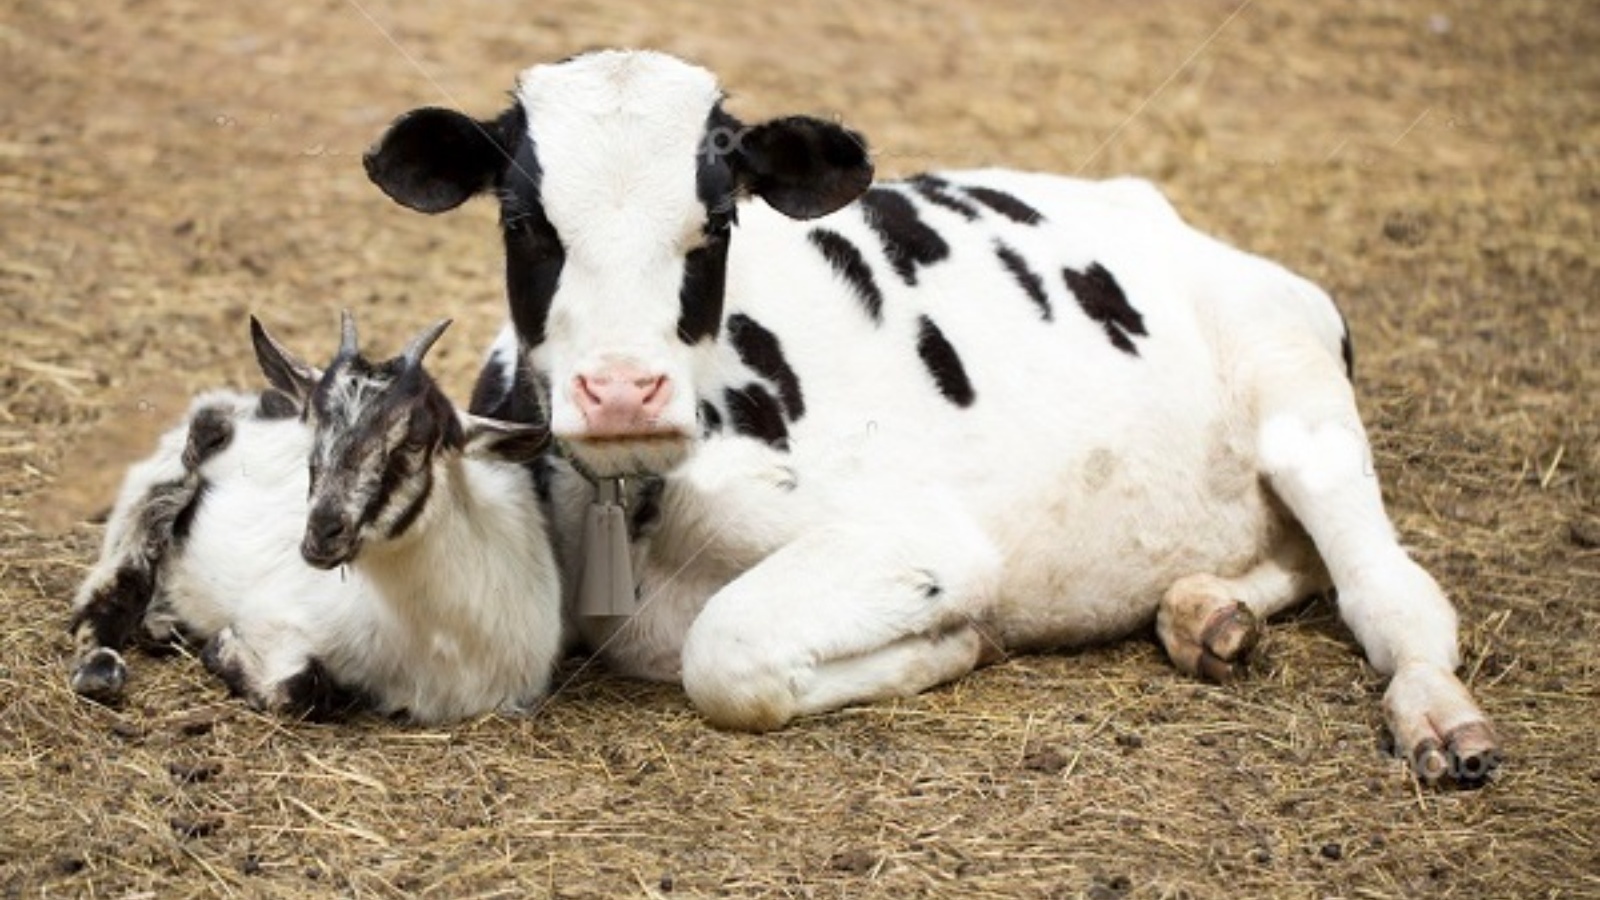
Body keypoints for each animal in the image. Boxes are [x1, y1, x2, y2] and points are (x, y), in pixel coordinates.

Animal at [68, 312, 563, 717]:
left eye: (413, 443)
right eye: (314, 431)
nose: (322, 533)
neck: (440, 642)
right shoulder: (275, 618)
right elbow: (300, 686)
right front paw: (222, 649)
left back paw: (161, 625)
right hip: (161, 482)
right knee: (115, 581)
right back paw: (99, 667)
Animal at [363, 49, 1497, 778]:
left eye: (717, 220)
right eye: (523, 221)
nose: (622, 391)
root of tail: (1157, 209)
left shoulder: (924, 541)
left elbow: (728, 653)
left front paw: (945, 649)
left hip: (1297, 390)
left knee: (1389, 592)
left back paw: (1437, 715)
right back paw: (1205, 615)